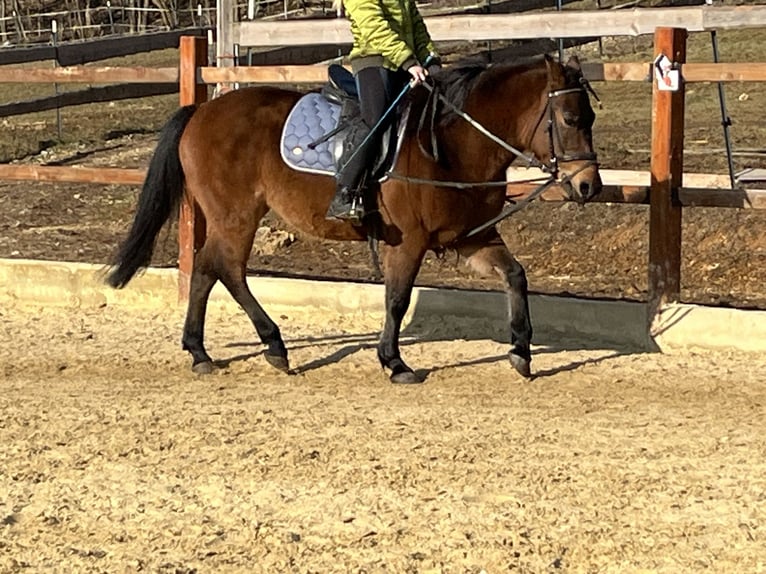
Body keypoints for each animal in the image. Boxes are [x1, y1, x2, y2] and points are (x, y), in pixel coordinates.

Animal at [106, 55, 600, 388]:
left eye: (591, 117)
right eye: (570, 118)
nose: (588, 186)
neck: (452, 143)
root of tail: (202, 112)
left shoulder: (470, 238)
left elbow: (515, 276)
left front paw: (521, 351)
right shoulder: (409, 241)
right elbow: (397, 299)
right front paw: (394, 363)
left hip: (229, 217)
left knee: (206, 270)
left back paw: (200, 352)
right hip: (236, 216)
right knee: (226, 268)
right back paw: (273, 346)